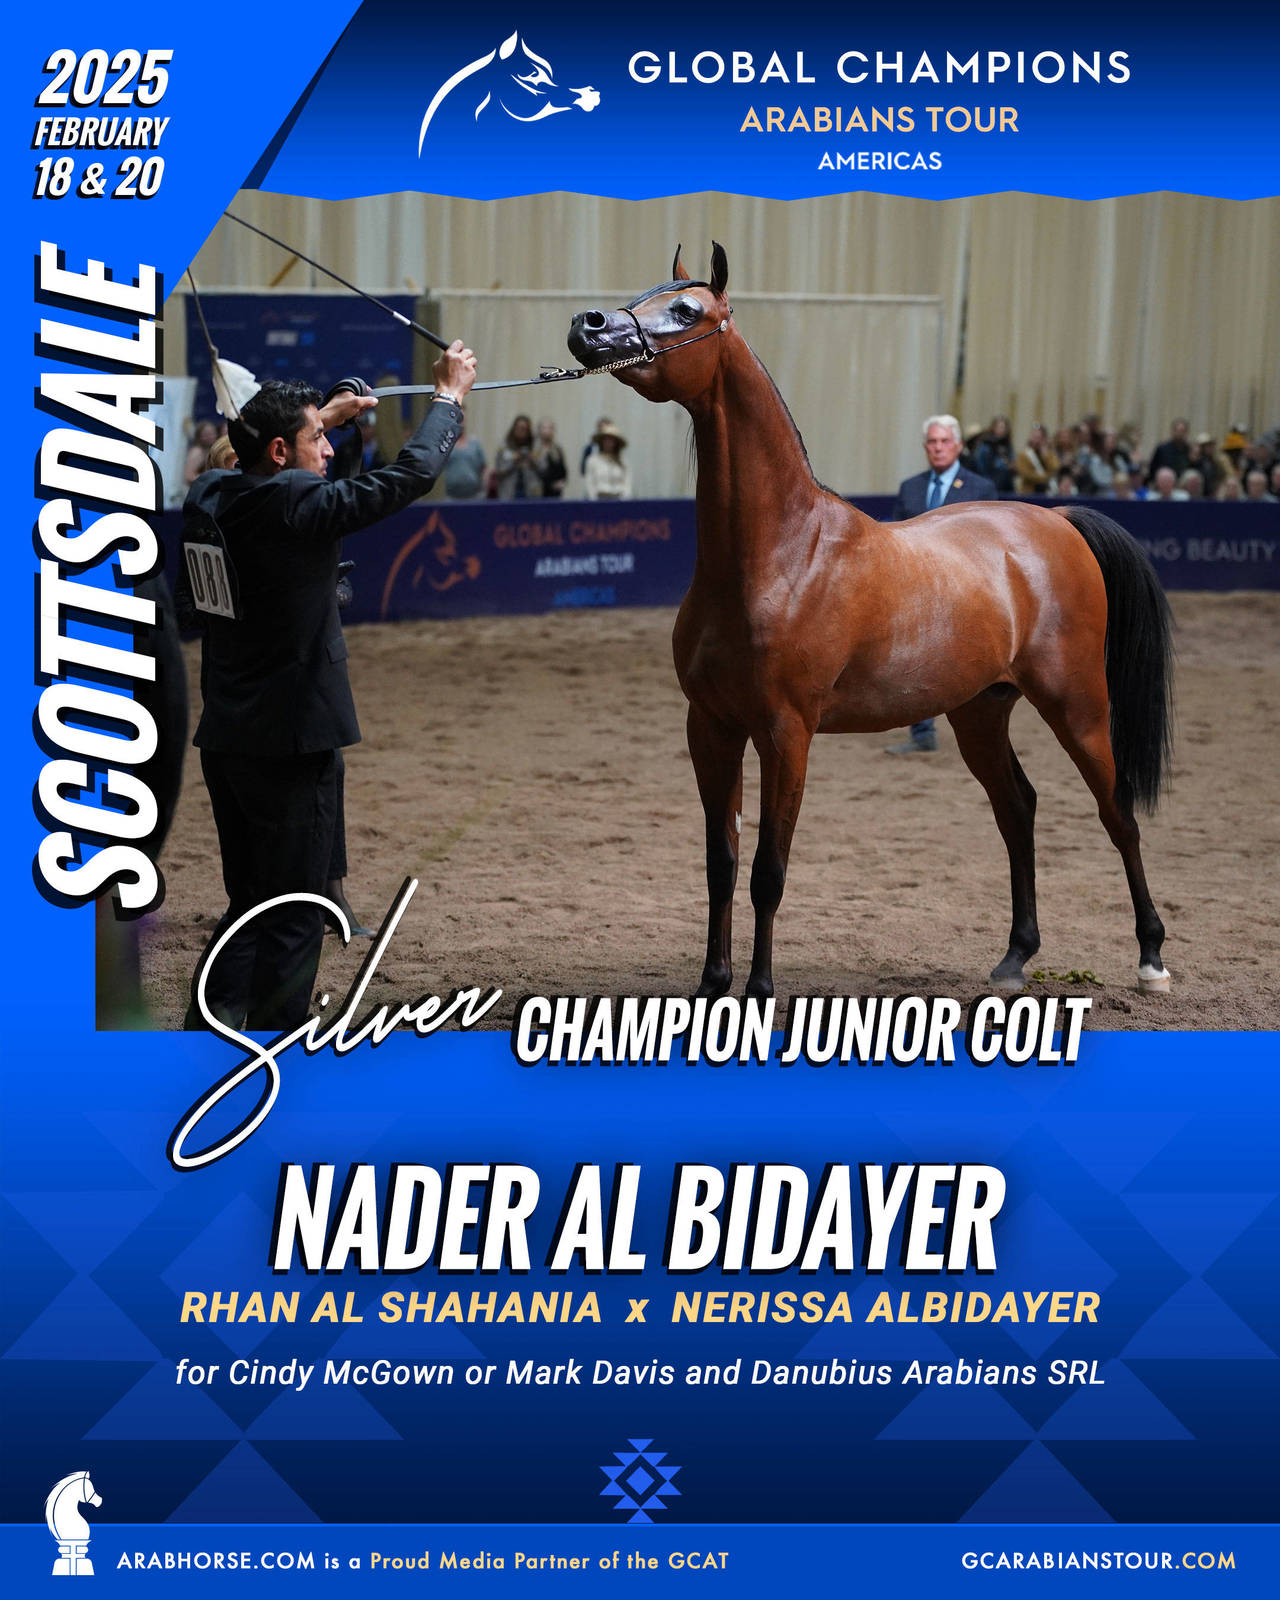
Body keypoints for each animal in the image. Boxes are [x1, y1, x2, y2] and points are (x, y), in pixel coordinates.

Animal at [567, 246, 1174, 1002]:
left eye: (687, 310)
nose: (587, 325)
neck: (779, 555)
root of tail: (1056, 520)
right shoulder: (710, 726)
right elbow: (721, 864)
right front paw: (712, 987)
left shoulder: (787, 733)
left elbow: (768, 871)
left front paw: (760, 991)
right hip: (980, 711)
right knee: (1018, 809)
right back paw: (1014, 957)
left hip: (1078, 705)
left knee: (1117, 813)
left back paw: (1151, 958)